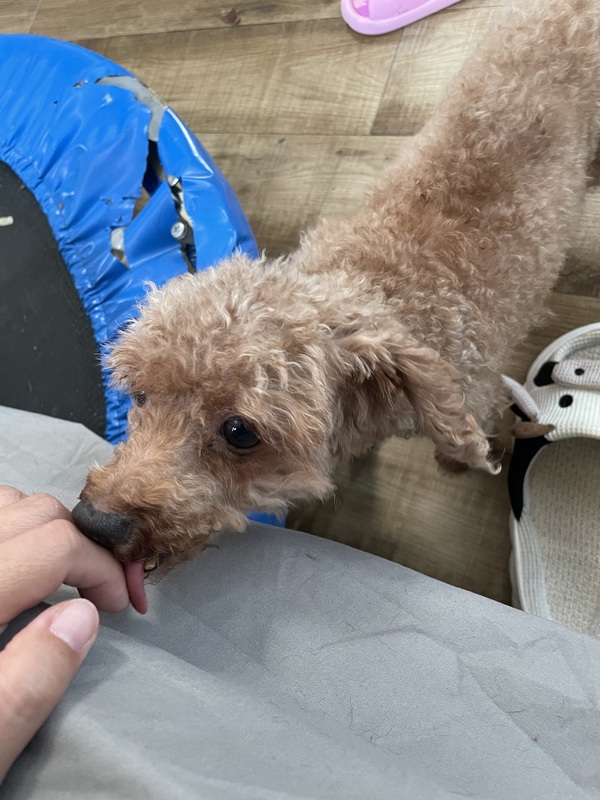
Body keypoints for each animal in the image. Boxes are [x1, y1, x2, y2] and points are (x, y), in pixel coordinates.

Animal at [73, 0, 600, 594]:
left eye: (239, 433)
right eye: (139, 395)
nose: (94, 522)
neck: (380, 290)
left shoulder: (478, 390)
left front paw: (459, 460)